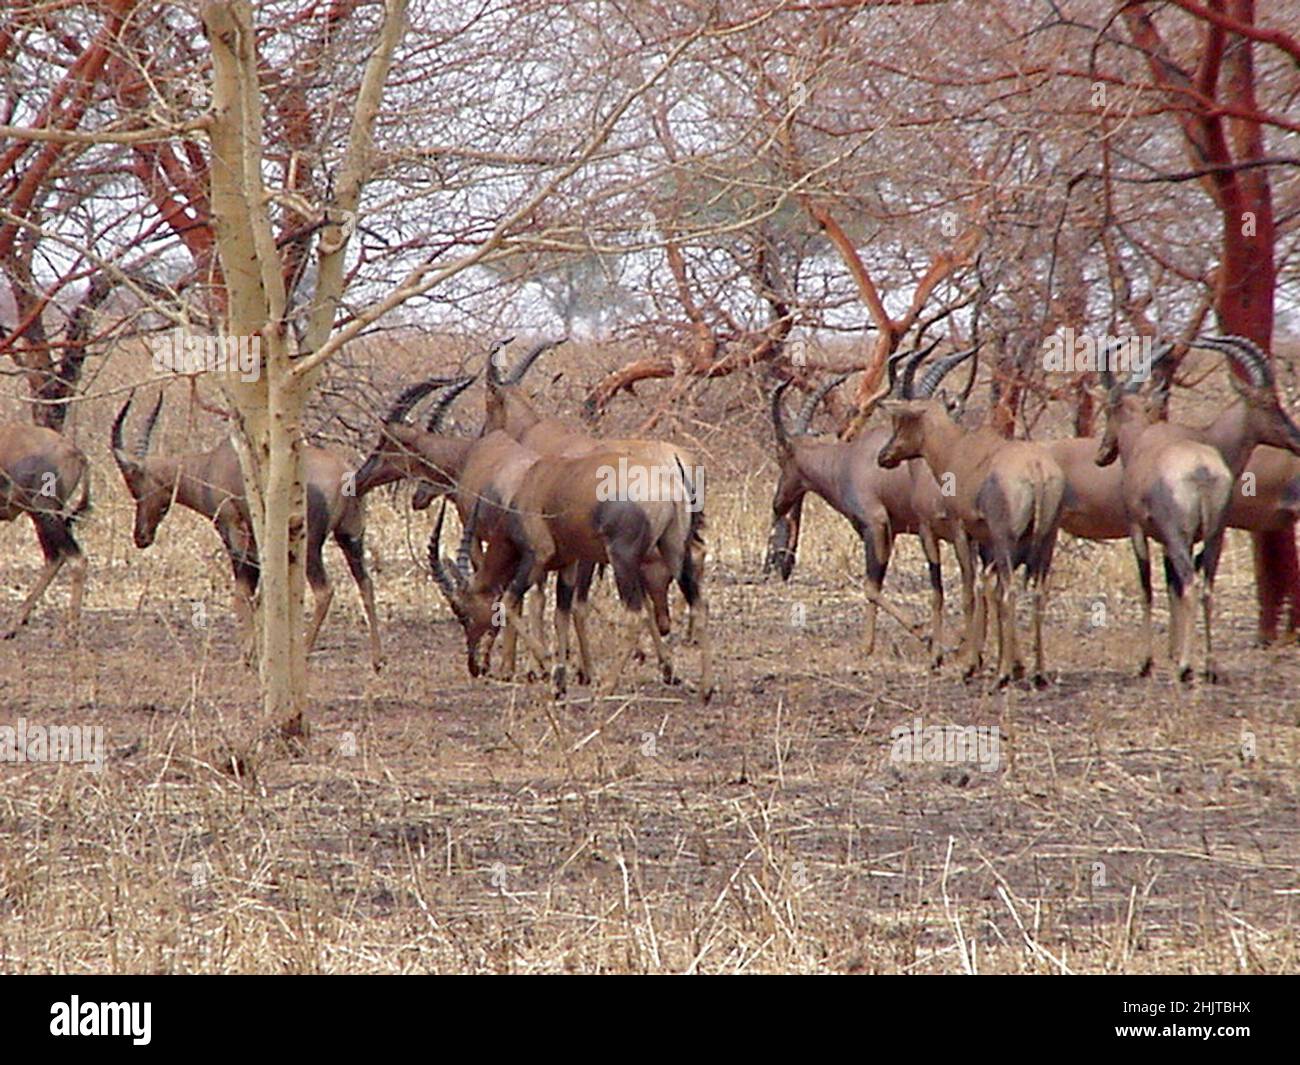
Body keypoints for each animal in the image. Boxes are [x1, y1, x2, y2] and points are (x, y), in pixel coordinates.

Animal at [0, 423, 90, 642]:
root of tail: (75, 452)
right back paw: (12, 627)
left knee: (75, 558)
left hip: (45, 513)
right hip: (39, 517)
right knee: (54, 557)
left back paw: (69, 632)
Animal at [111, 395, 382, 670]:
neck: (213, 464)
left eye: (134, 484)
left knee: (324, 591)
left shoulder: (234, 533)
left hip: (309, 545)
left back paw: (304, 653)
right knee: (366, 583)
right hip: (350, 537)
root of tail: (345, 475)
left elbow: (242, 594)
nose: (141, 537)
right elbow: (261, 595)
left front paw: (248, 655)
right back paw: (377, 659)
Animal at [759, 348, 967, 665]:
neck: (849, 459)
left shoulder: (875, 524)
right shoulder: (890, 531)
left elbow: (870, 587)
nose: (777, 504)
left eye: (782, 456)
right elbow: (876, 585)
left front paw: (918, 636)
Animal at [873, 345, 1066, 686]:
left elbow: (969, 589)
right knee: (1037, 593)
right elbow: (985, 589)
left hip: (1006, 540)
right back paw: (1039, 673)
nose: (885, 456)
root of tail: (1037, 469)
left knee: (1009, 591)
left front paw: (970, 664)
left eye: (902, 419)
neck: (960, 448)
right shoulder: (983, 541)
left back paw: (1002, 675)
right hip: (1046, 541)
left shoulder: (961, 532)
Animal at [1097, 356, 1227, 681]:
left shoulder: (1137, 531)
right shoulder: (1171, 542)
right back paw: (1210, 666)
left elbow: (1147, 588)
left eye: (1107, 409)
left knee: (1191, 584)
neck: (1144, 443)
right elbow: (1171, 587)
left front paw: (1147, 663)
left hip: (1180, 537)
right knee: (1206, 588)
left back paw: (1186, 668)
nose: (1102, 453)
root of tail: (1202, 468)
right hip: (1215, 536)